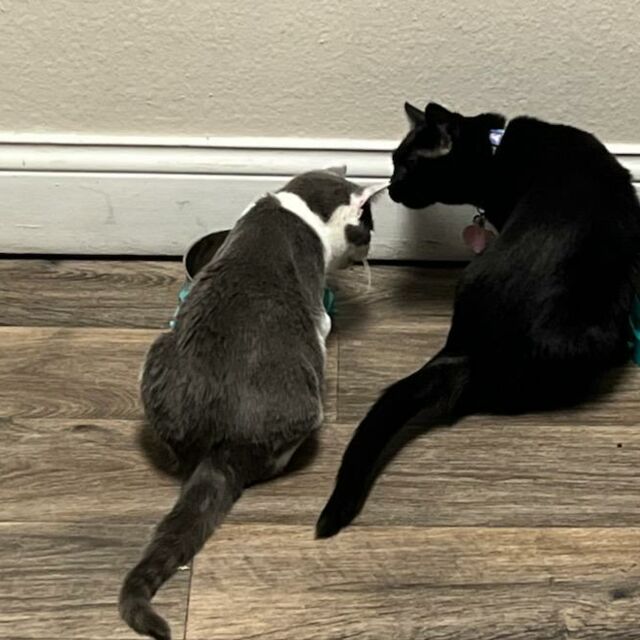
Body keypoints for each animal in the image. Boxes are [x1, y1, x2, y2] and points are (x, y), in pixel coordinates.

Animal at [119, 167, 386, 640]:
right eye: (367, 228)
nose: (370, 247)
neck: (295, 205)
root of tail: (220, 445)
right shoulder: (317, 309)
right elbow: (325, 317)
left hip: (157, 356)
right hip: (305, 399)